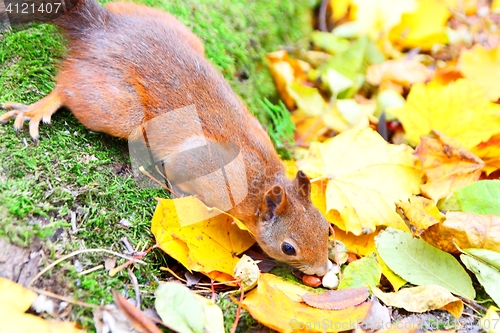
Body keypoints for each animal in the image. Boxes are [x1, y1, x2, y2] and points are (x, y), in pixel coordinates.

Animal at [0, 0, 332, 274]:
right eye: (288, 248)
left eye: (326, 227)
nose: (322, 270)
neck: (262, 180)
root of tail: (101, 28)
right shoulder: (205, 171)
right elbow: (176, 172)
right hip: (118, 108)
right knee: (68, 87)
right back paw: (41, 106)